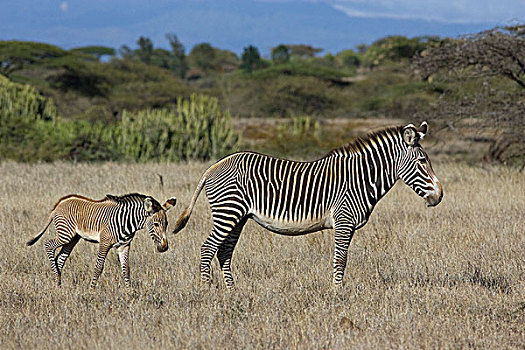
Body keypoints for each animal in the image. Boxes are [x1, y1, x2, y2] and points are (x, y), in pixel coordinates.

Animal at [27, 194, 176, 288]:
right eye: (156, 224)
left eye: (166, 224)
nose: (164, 247)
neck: (126, 221)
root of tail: (58, 205)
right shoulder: (104, 243)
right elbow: (98, 267)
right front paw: (91, 290)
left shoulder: (124, 245)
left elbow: (126, 269)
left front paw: (130, 292)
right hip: (66, 234)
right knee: (48, 244)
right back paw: (56, 277)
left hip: (73, 238)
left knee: (60, 258)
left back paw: (58, 283)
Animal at [173, 121, 442, 288]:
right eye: (421, 161)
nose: (439, 196)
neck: (361, 178)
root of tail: (214, 166)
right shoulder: (344, 221)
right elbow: (340, 259)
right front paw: (337, 293)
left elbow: (341, 259)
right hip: (228, 212)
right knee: (208, 248)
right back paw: (208, 290)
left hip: (237, 217)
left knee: (224, 252)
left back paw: (231, 291)